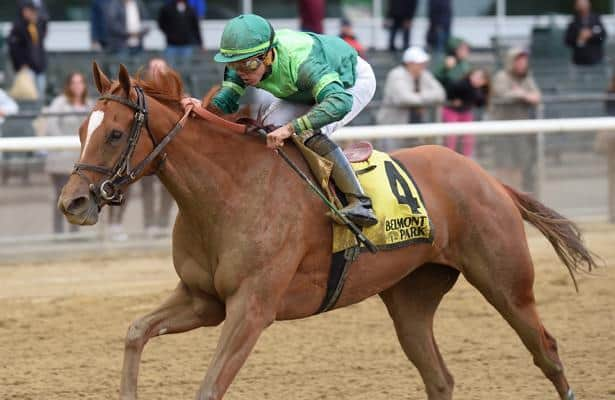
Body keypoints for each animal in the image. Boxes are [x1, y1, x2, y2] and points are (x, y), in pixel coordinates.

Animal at [59, 64, 596, 398]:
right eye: (82, 130)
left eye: (114, 133)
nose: (72, 203)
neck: (228, 192)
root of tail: (490, 179)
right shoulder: (202, 299)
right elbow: (135, 332)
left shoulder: (253, 307)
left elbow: (209, 387)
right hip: (411, 297)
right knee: (439, 377)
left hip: (507, 284)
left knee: (546, 352)